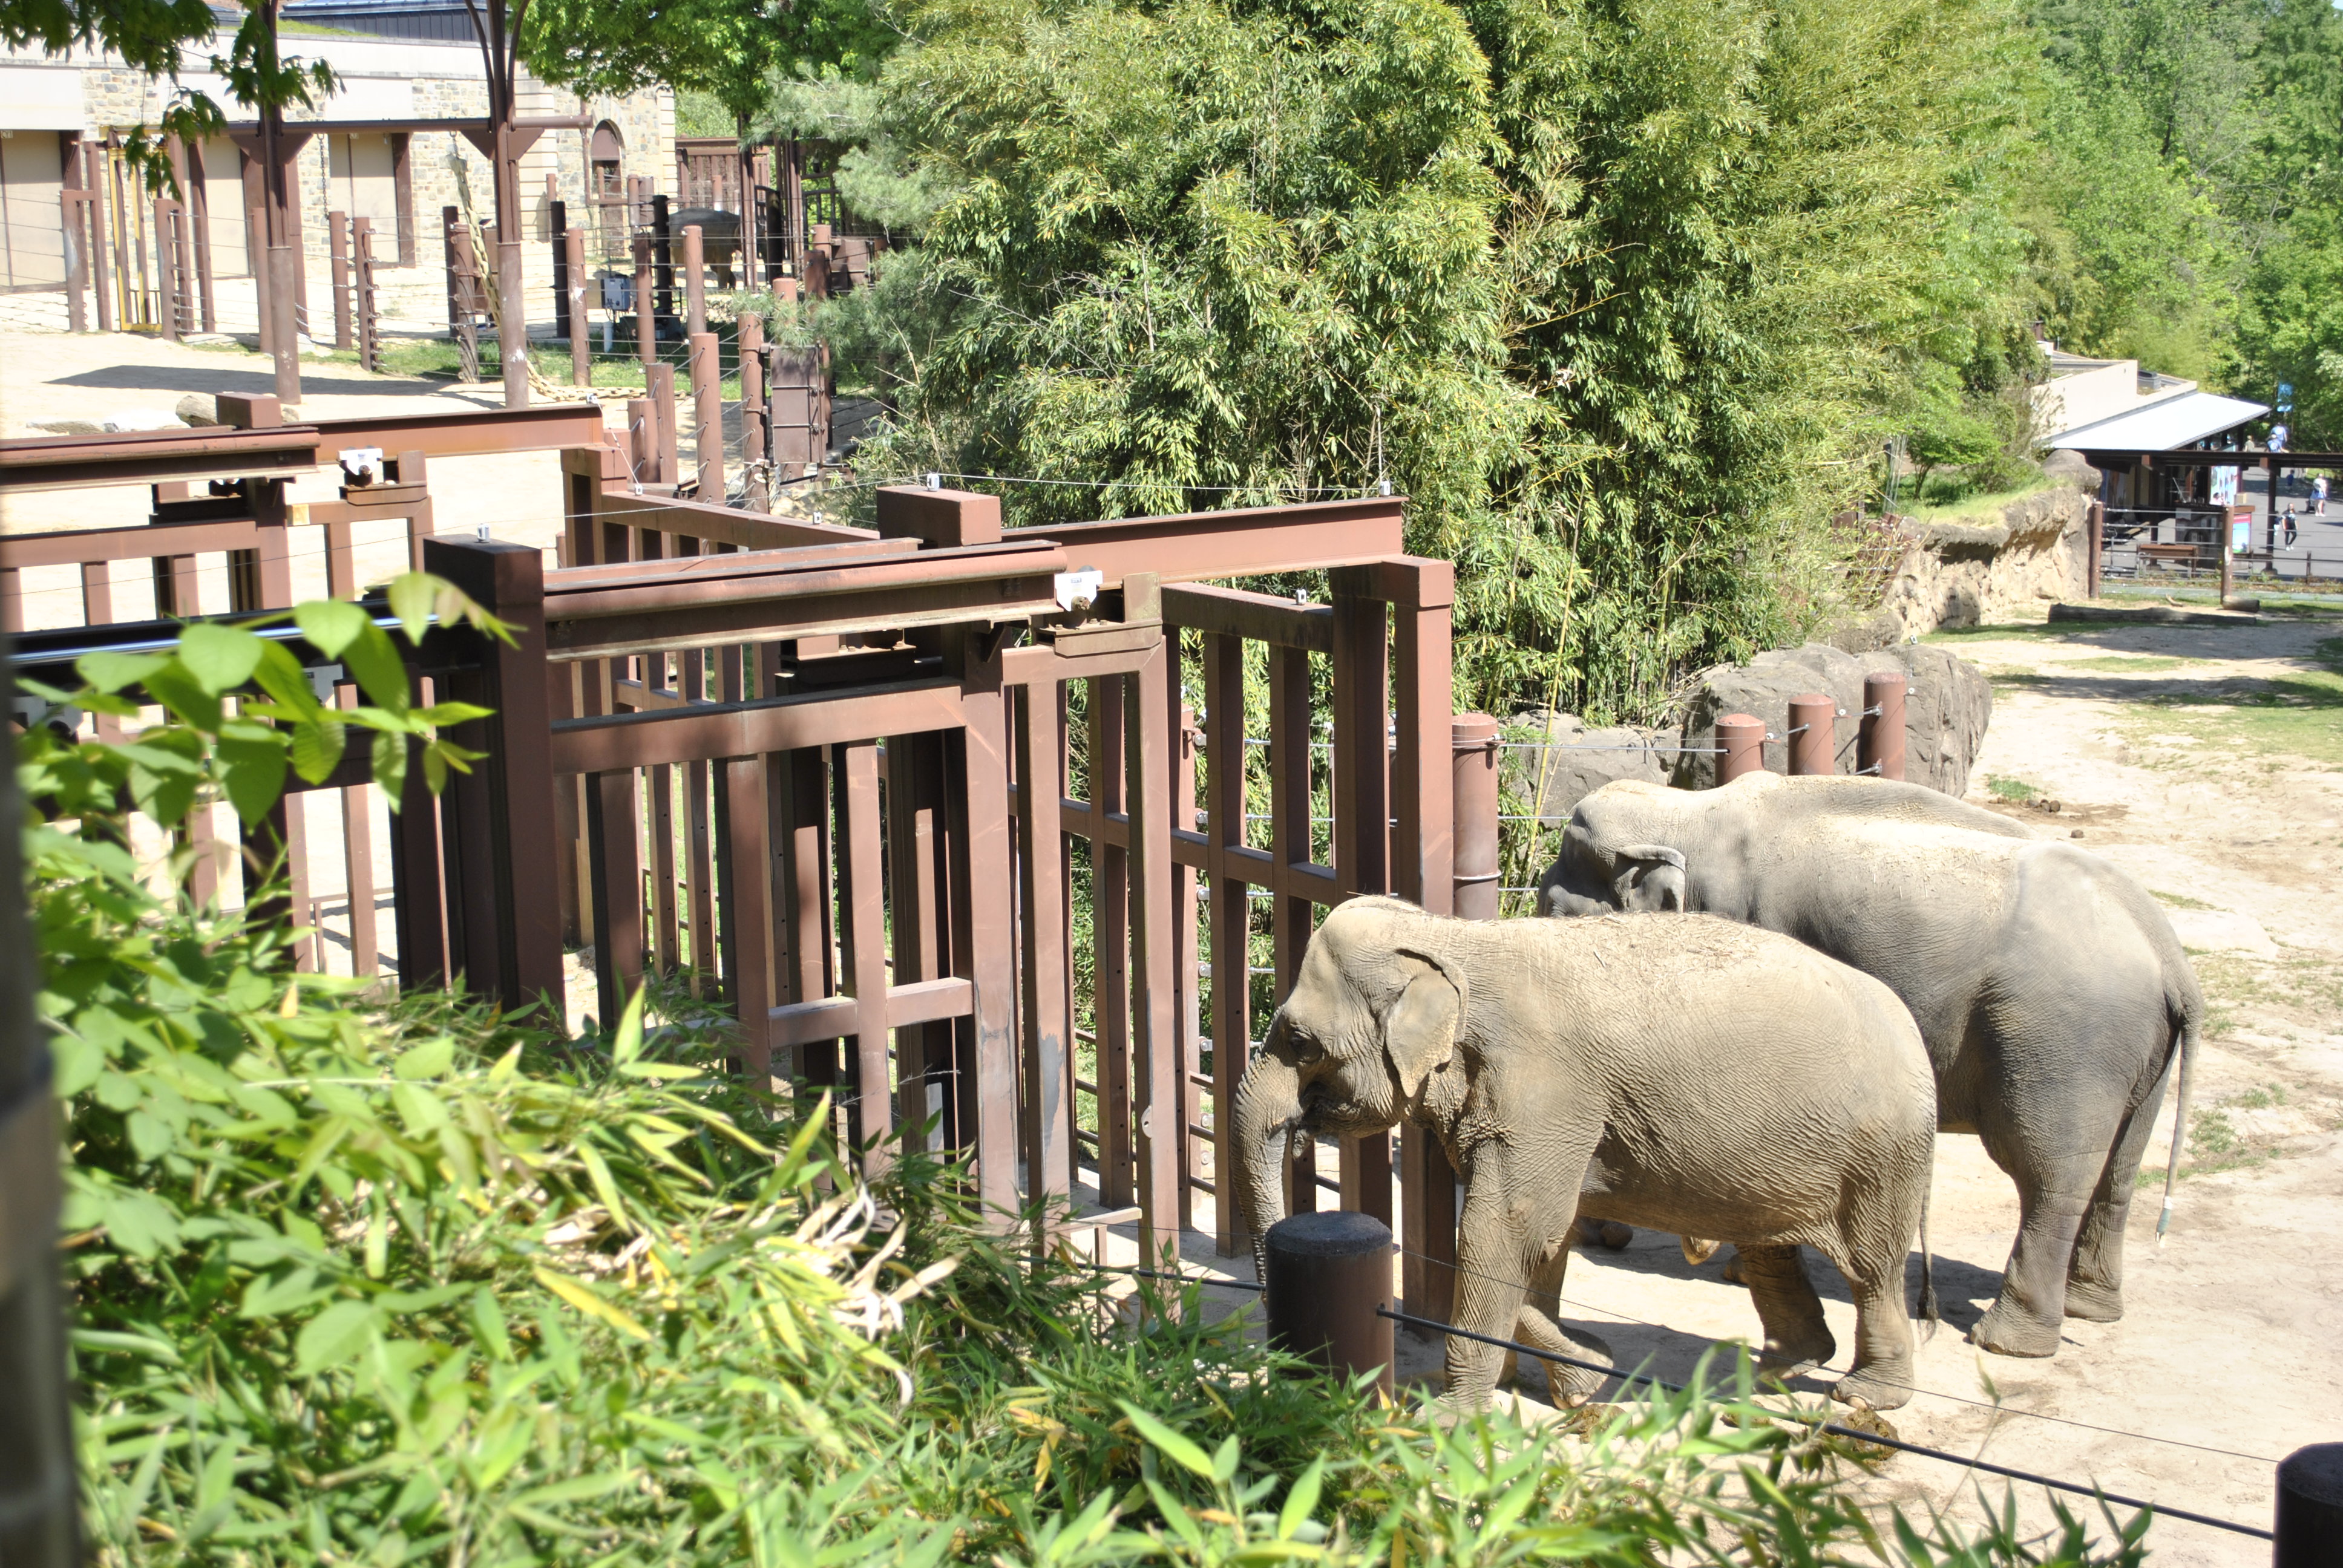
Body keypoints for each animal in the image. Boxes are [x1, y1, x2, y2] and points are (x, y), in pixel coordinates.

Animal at [1233, 897, 1939, 1410]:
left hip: (1881, 1153)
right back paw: (1778, 1369)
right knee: (1770, 1245)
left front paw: (1456, 1417)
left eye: (1299, 1042)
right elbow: (1546, 1237)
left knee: (1872, 1266)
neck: (1453, 939)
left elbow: (1507, 1230)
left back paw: (1864, 1398)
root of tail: (1912, 1030)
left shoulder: (1547, 1090)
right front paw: (1565, 1378)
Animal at [1538, 772, 2201, 1359]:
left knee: (2048, 1173)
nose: (1608, 1238)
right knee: (2119, 1169)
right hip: (2136, 1055)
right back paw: (2091, 1309)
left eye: (1558, 918)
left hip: (2063, 1042)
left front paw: (1733, 1266)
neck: (1687, 812)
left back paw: (2006, 1342)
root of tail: (2169, 955)